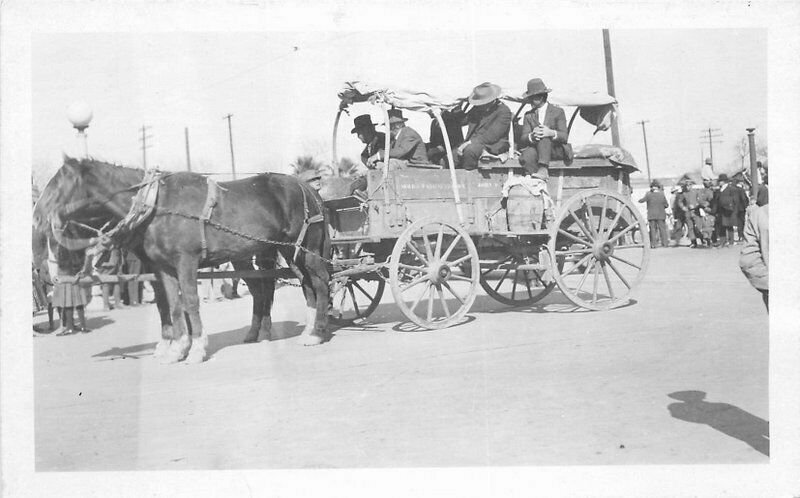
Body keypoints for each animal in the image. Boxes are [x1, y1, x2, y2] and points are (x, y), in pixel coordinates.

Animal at [36, 158, 330, 364]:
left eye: (59, 184)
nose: (37, 214)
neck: (156, 206)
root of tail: (306, 187)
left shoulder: (185, 261)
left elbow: (188, 301)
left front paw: (196, 348)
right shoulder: (162, 268)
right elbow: (171, 305)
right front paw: (175, 348)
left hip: (306, 249)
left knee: (320, 282)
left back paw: (316, 332)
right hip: (287, 253)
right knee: (295, 286)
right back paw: (298, 331)